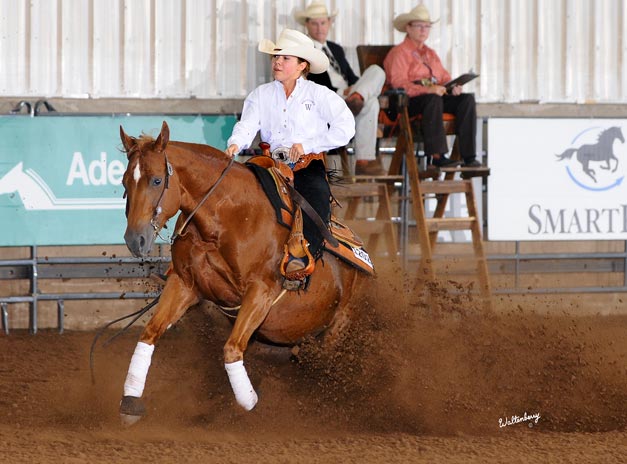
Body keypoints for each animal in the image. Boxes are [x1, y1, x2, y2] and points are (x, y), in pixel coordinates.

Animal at [118, 121, 368, 423]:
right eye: (124, 182)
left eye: (156, 180)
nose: (135, 240)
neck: (225, 220)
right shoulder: (184, 284)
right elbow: (150, 333)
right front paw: (130, 401)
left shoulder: (260, 293)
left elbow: (232, 349)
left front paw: (249, 404)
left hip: (338, 327)